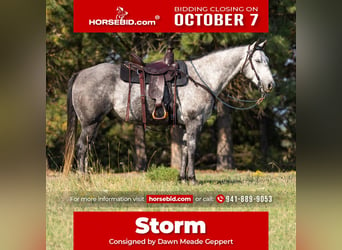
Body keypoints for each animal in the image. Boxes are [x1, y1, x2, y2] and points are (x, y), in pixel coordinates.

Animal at [62, 40, 276, 184]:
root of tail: (80, 73)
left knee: (86, 148)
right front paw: (193, 179)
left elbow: (184, 150)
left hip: (93, 124)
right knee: (81, 148)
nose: (270, 85)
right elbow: (192, 149)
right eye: (257, 60)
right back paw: (83, 178)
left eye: (267, 60)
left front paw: (182, 178)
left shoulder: (184, 125)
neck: (203, 77)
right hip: (90, 123)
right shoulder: (193, 123)